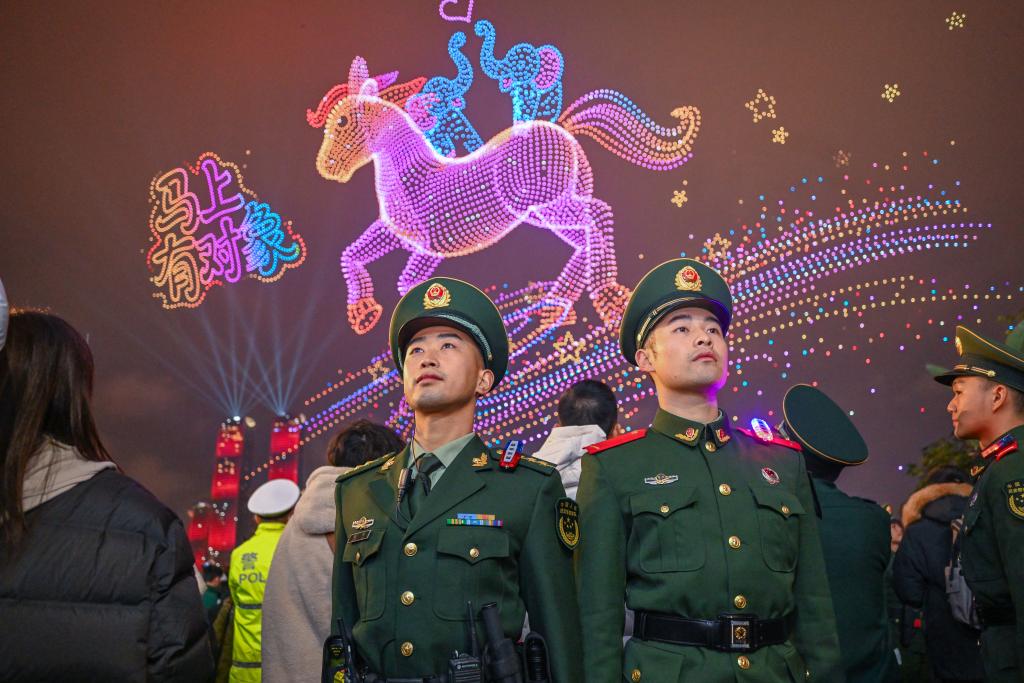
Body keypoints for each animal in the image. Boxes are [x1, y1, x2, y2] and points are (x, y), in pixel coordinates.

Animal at [312, 56, 701, 336]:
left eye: (342, 122)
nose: (328, 168)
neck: (413, 177)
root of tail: (562, 127)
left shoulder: (427, 246)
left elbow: (409, 283)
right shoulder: (395, 233)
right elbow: (351, 255)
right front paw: (362, 313)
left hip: (550, 203)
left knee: (599, 217)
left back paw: (602, 297)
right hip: (543, 213)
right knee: (585, 238)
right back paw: (557, 306)